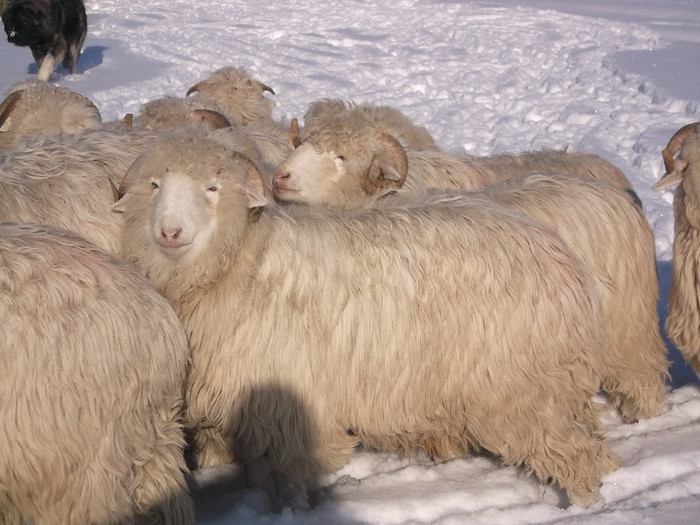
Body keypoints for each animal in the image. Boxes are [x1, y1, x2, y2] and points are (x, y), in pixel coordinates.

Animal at [112, 127, 620, 508]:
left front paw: (294, 512)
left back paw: (586, 504)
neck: (241, 262)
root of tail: (557, 251)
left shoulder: (291, 405)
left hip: (524, 390)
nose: (170, 232)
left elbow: (293, 479)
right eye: (154, 185)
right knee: (592, 441)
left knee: (576, 453)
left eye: (213, 188)